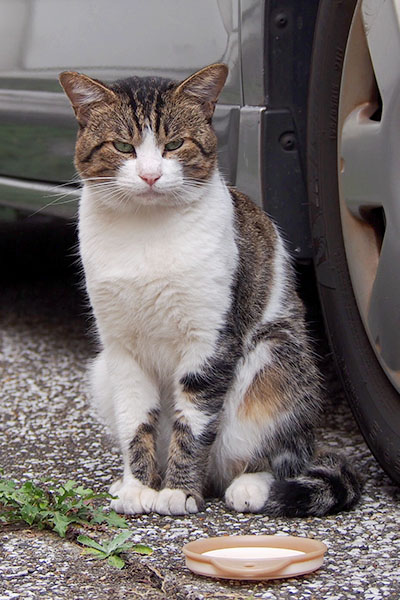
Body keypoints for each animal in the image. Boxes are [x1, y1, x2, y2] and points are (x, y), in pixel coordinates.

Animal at [60, 64, 362, 516]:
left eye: (173, 144)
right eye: (122, 146)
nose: (150, 175)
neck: (145, 234)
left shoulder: (209, 342)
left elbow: (194, 422)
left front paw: (179, 491)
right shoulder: (122, 350)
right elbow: (136, 420)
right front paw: (138, 486)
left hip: (273, 361)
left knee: (278, 454)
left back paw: (250, 485)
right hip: (100, 371)